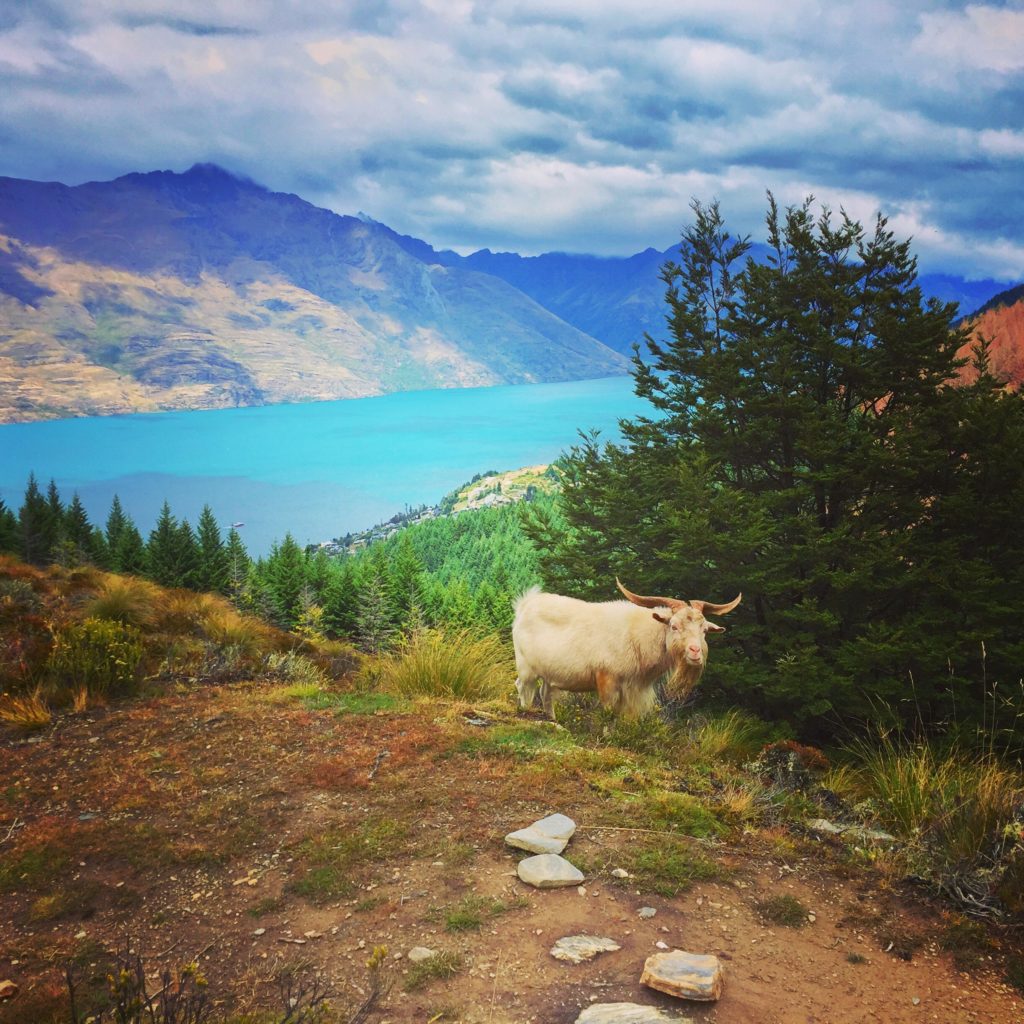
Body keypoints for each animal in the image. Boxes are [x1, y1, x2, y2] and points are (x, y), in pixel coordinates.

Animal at [516, 581, 741, 716]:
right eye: (674, 625)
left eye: (704, 630)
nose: (695, 651)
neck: (638, 637)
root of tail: (525, 603)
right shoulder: (606, 679)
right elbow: (609, 713)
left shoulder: (633, 690)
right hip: (526, 666)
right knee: (523, 687)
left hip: (550, 673)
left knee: (546, 693)